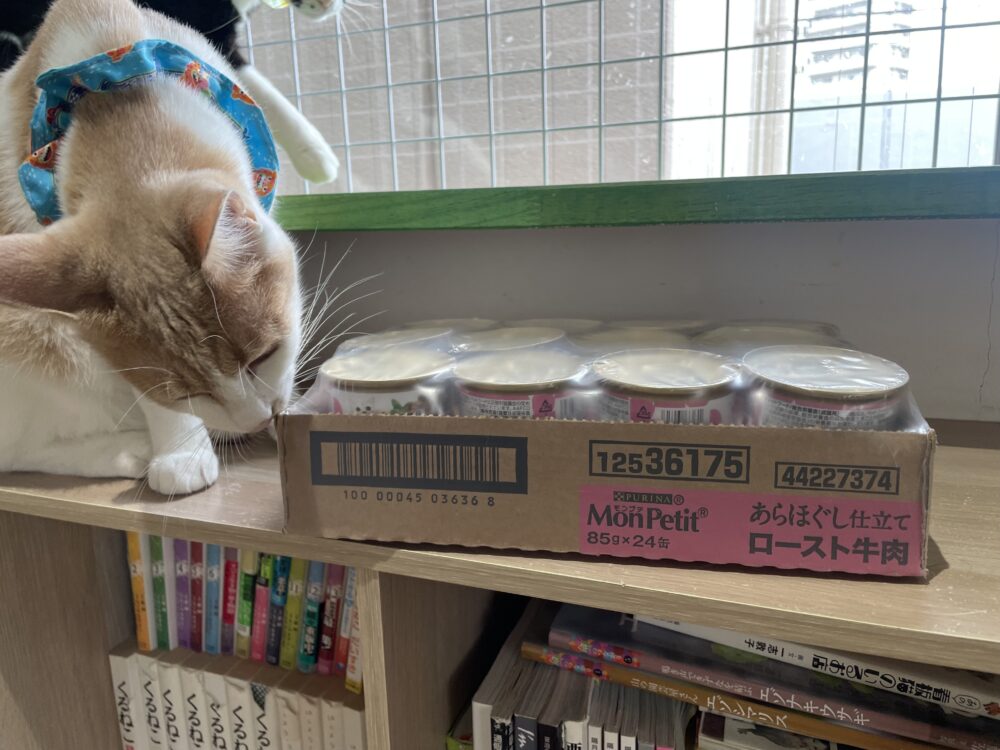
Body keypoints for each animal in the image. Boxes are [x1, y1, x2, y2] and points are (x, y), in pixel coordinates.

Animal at [0, 0, 304, 495]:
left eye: (264, 356)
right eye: (184, 391)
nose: (258, 421)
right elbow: (146, 394)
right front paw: (181, 452)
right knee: (18, 448)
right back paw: (130, 451)